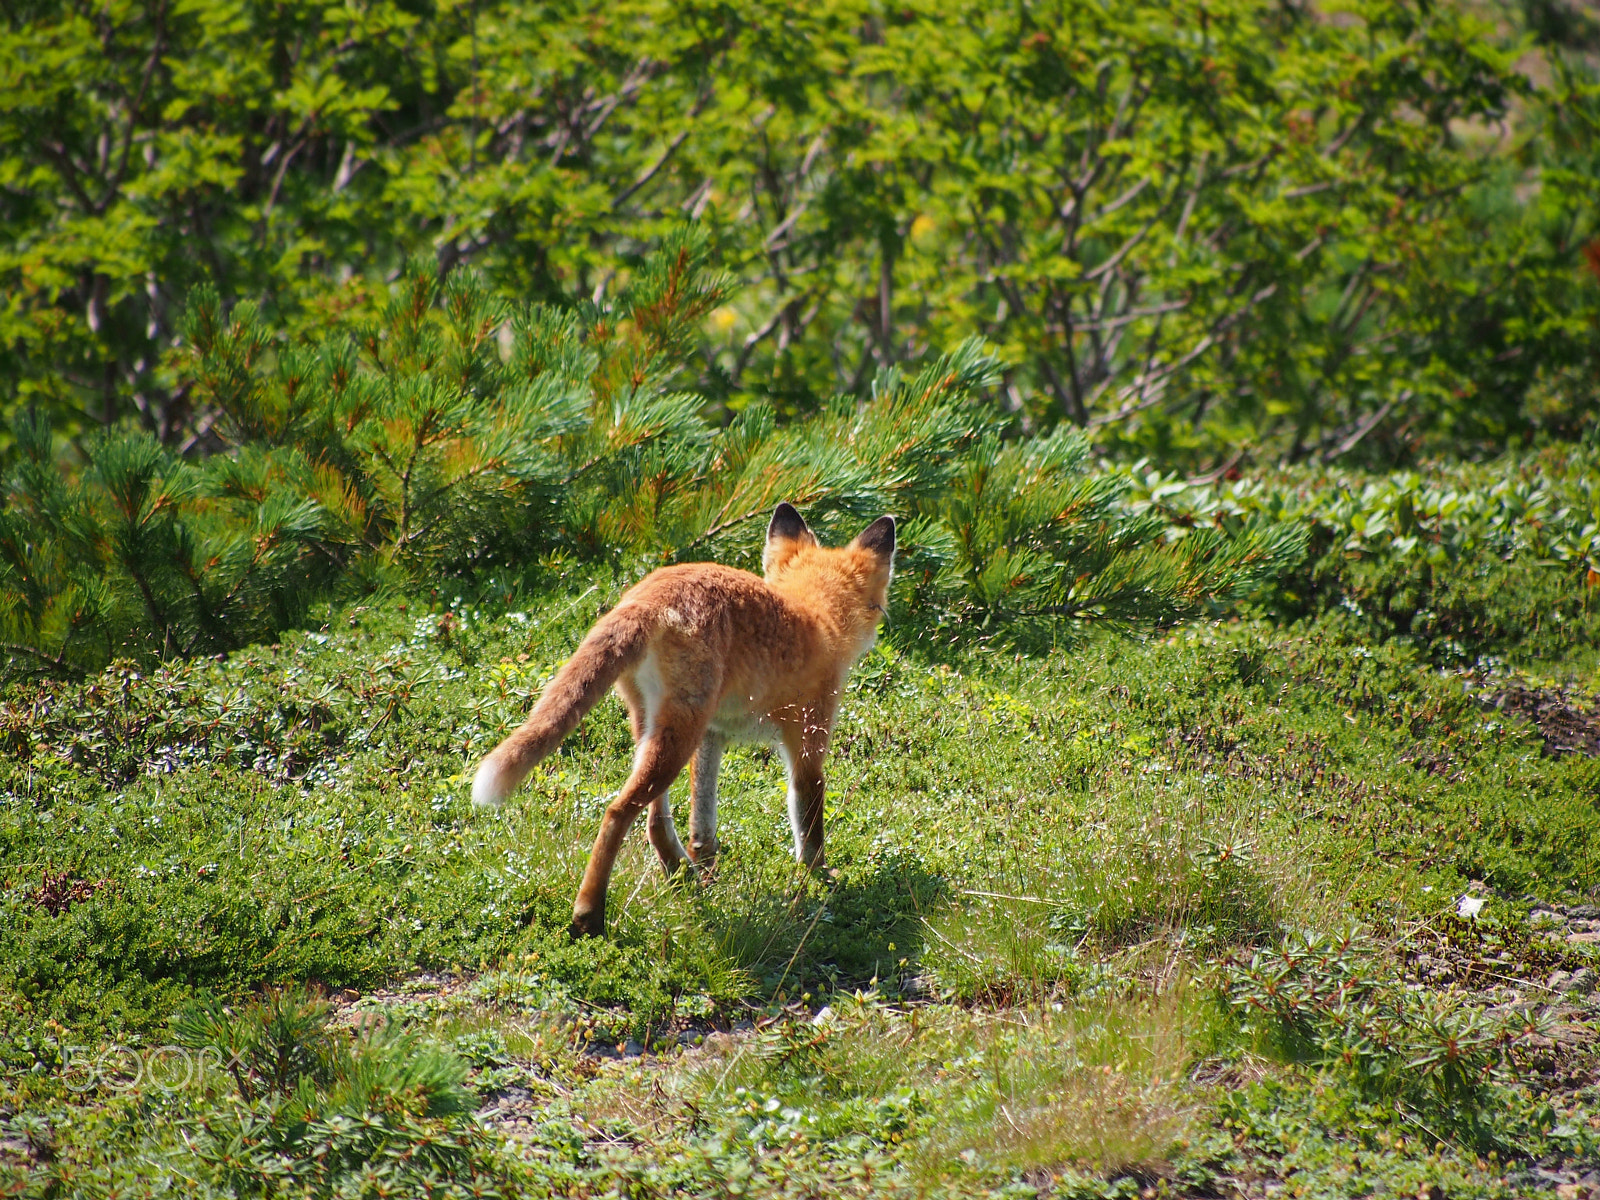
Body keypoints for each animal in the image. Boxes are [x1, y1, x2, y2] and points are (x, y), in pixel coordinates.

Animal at [467, 502, 896, 934]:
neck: (817, 615)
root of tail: (647, 596)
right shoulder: (808, 735)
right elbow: (809, 820)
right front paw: (819, 878)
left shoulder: (714, 734)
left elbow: (704, 821)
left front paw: (706, 864)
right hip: (679, 733)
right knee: (618, 811)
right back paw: (589, 914)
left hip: (660, 727)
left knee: (655, 820)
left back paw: (682, 874)